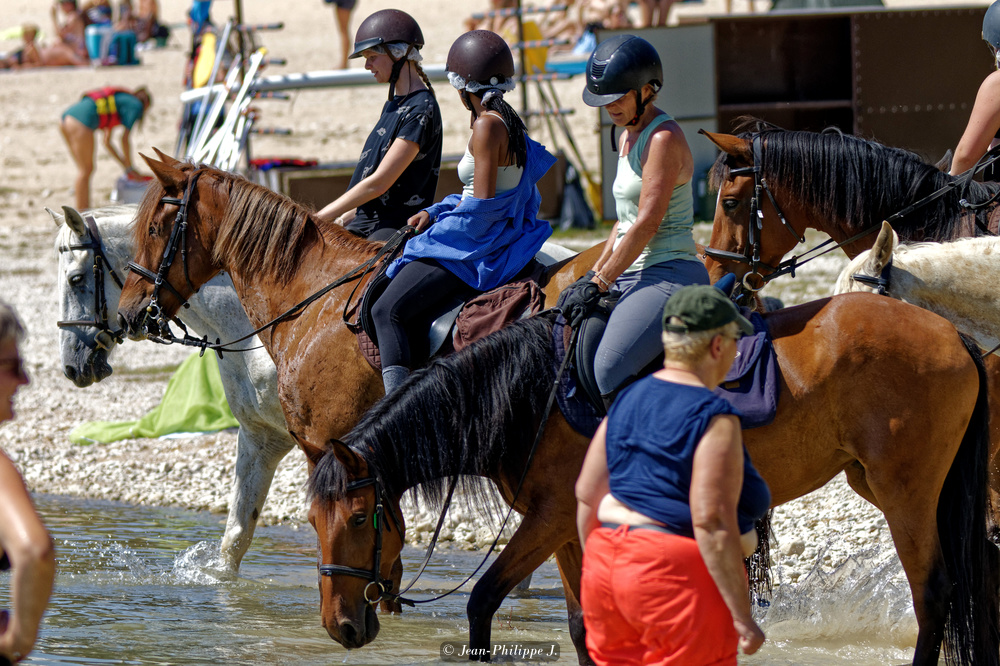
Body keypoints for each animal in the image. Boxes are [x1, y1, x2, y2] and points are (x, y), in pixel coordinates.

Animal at [308, 298, 996, 664]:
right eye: (316, 521)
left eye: (362, 518)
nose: (341, 626)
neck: (531, 396)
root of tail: (952, 333)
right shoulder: (564, 527)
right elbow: (584, 624)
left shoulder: (548, 520)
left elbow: (482, 603)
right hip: (886, 485)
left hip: (906, 492)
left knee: (934, 592)